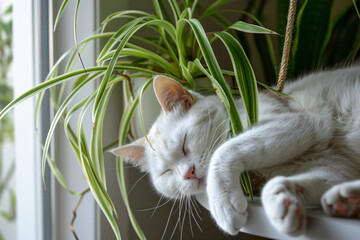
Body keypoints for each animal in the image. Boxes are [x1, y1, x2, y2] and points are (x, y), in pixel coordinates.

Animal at [112, 66, 360, 237]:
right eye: (166, 172)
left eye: (184, 143)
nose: (188, 174)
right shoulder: (335, 166)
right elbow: (293, 182)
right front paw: (283, 201)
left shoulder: (296, 123)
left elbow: (224, 150)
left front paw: (223, 206)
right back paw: (346, 200)